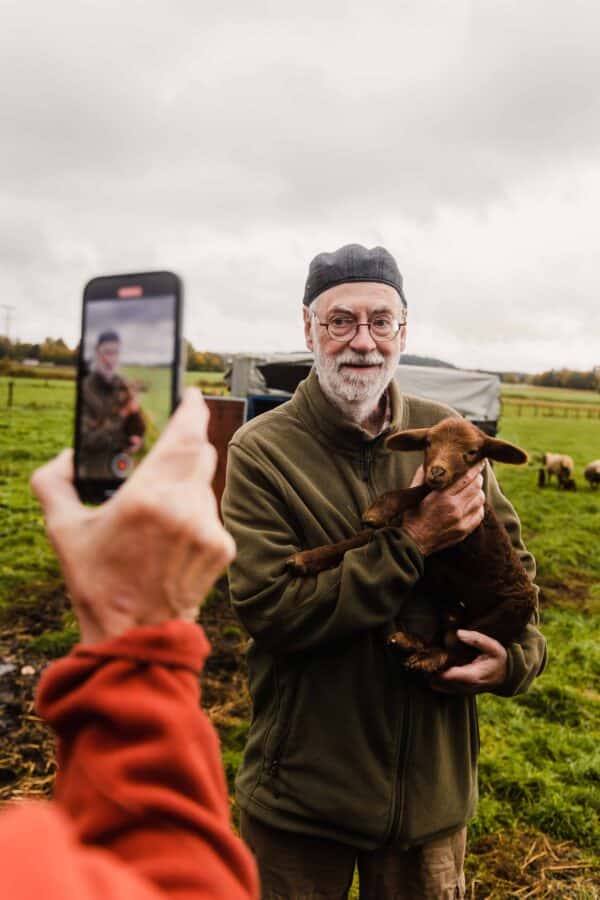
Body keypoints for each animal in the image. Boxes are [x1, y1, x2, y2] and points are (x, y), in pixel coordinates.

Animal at [288, 418, 536, 672]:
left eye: (472, 452)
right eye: (428, 443)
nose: (437, 471)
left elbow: (420, 490)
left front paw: (378, 510)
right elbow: (358, 540)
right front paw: (307, 559)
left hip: (505, 616)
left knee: (459, 652)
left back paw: (428, 658)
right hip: (449, 605)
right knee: (447, 636)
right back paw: (409, 642)